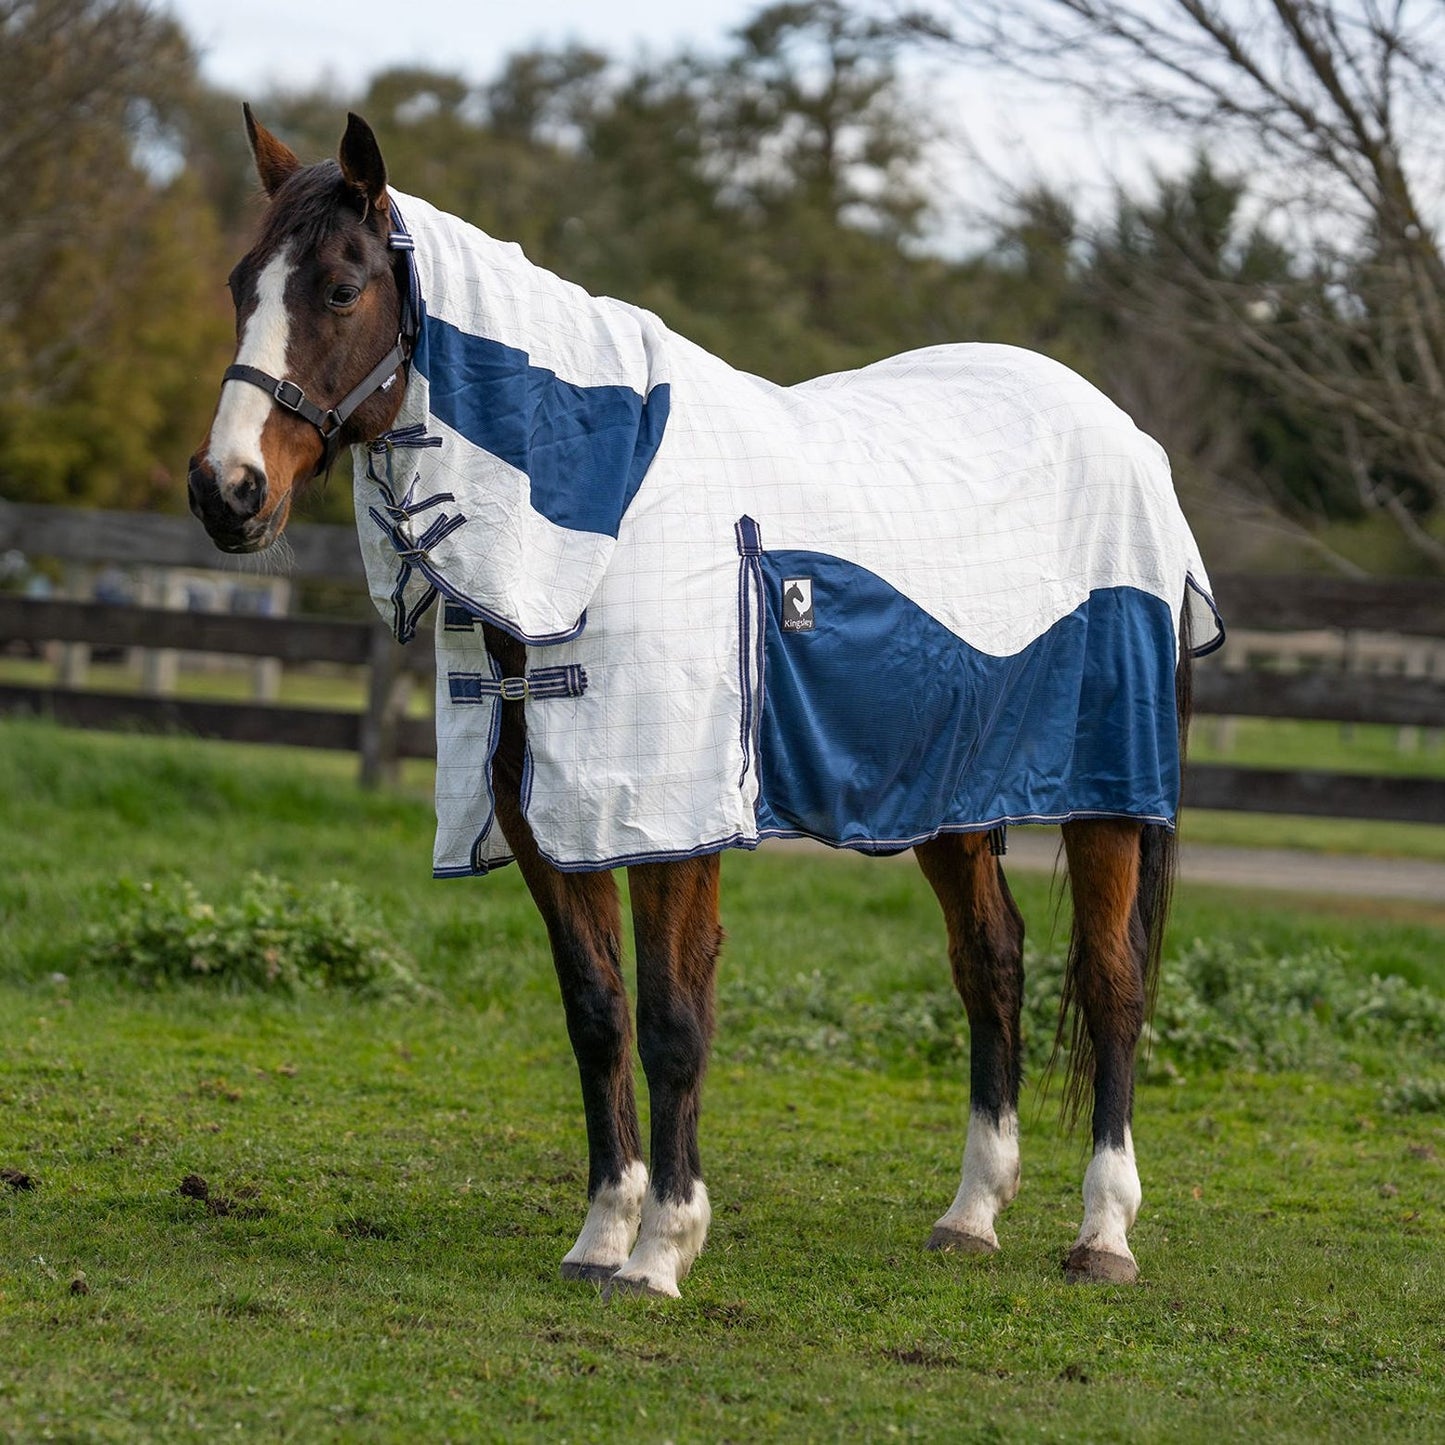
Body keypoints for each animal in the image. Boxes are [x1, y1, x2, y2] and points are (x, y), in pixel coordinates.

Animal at [187, 109, 1222, 1298]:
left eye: (344, 288)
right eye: (241, 284)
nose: (225, 491)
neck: (600, 525)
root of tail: (1128, 441)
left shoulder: (665, 822)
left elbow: (675, 1017)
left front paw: (661, 1248)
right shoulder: (550, 822)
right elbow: (597, 1014)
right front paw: (600, 1232)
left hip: (1108, 794)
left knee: (1111, 982)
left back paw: (1101, 1231)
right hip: (949, 789)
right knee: (990, 963)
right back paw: (971, 1211)